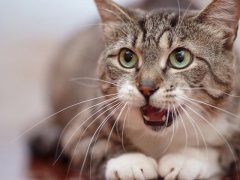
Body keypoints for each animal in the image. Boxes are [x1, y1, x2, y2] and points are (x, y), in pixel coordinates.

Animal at [29, 0, 240, 179]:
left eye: (180, 58)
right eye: (127, 57)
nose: (146, 87)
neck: (160, 139)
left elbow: (223, 150)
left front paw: (186, 159)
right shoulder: (79, 130)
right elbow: (96, 146)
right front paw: (130, 162)